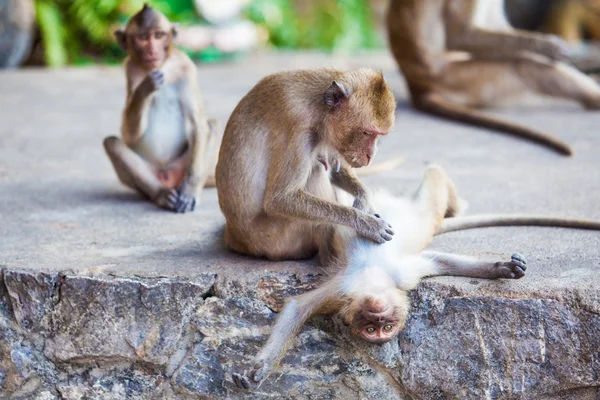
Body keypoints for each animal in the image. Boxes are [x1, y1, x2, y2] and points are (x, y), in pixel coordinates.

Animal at [102, 4, 221, 214]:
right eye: (143, 38)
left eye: (158, 35)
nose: (152, 50)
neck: (162, 67)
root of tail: (168, 177)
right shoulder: (130, 70)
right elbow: (129, 135)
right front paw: (145, 88)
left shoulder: (186, 67)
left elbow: (197, 124)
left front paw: (189, 191)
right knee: (112, 143)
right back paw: (160, 194)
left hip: (181, 168)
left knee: (211, 125)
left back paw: (189, 189)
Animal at [216, 67, 398, 264]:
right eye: (367, 133)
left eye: (379, 135)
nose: (370, 156)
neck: (320, 109)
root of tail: (233, 236)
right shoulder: (299, 129)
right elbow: (280, 199)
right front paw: (367, 223)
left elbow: (336, 169)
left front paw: (364, 200)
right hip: (275, 239)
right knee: (315, 173)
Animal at [232, 164, 600, 390]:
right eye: (372, 329)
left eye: (384, 326)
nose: (378, 313)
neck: (373, 277)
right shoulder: (341, 292)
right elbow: (298, 307)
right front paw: (259, 368)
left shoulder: (402, 276)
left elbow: (436, 260)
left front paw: (500, 268)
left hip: (423, 213)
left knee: (432, 178)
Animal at [386, 0, 600, 156]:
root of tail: (417, 86)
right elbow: (458, 36)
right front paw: (545, 46)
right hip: (460, 79)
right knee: (523, 66)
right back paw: (594, 99)